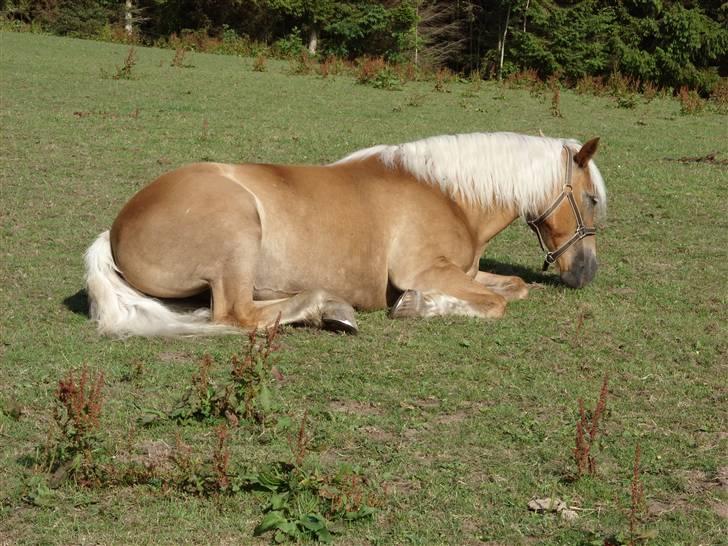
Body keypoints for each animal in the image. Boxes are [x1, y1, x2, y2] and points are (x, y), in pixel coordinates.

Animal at [84, 132, 608, 336]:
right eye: (591, 199)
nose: (587, 272)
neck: (447, 196)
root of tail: (118, 226)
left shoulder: (462, 271)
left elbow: (513, 287)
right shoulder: (423, 270)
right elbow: (496, 303)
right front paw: (416, 306)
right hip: (238, 232)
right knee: (237, 314)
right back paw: (327, 308)